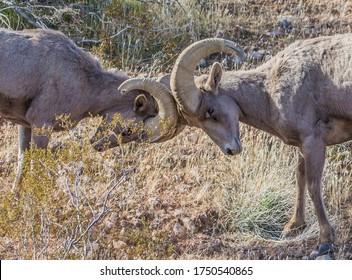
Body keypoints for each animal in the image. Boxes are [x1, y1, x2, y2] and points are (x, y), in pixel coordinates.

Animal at [0, 28, 177, 189]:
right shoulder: (42, 125)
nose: (97, 146)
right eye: (128, 130)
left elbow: (22, 166)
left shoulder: (26, 125)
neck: (87, 84)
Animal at [120, 34, 352, 260]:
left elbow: (313, 186)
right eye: (196, 123)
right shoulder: (302, 147)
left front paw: (324, 243)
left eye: (211, 110)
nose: (231, 150)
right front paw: (293, 227)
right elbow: (300, 179)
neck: (269, 93)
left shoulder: (313, 142)